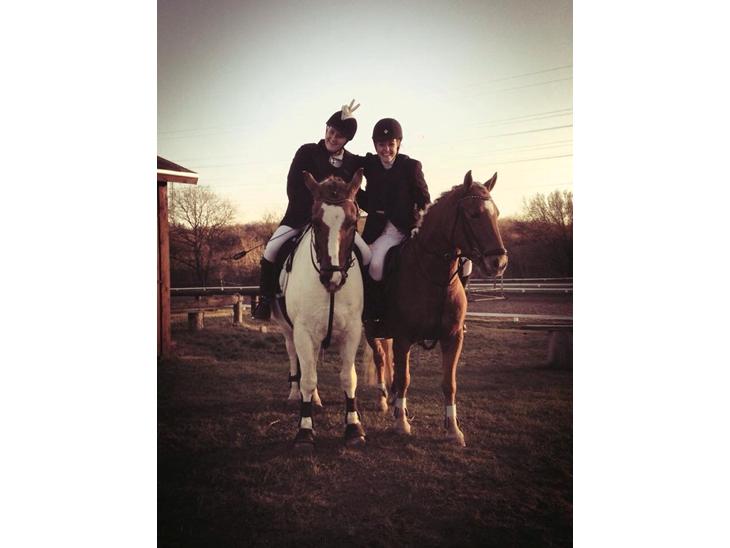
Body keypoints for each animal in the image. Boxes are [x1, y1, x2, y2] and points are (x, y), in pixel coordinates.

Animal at [272, 168, 367, 452]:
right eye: (314, 222)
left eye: (352, 222)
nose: (331, 277)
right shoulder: (303, 332)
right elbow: (307, 378)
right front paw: (304, 431)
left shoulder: (352, 332)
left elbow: (348, 378)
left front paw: (353, 428)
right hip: (289, 330)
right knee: (296, 360)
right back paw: (296, 395)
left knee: (311, 362)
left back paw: (314, 399)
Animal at [365, 170, 508, 446]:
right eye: (474, 214)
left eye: (496, 213)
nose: (499, 262)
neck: (434, 276)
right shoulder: (403, 338)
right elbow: (405, 379)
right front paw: (401, 424)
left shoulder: (453, 337)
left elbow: (449, 383)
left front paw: (453, 429)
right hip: (368, 328)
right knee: (379, 358)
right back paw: (383, 399)